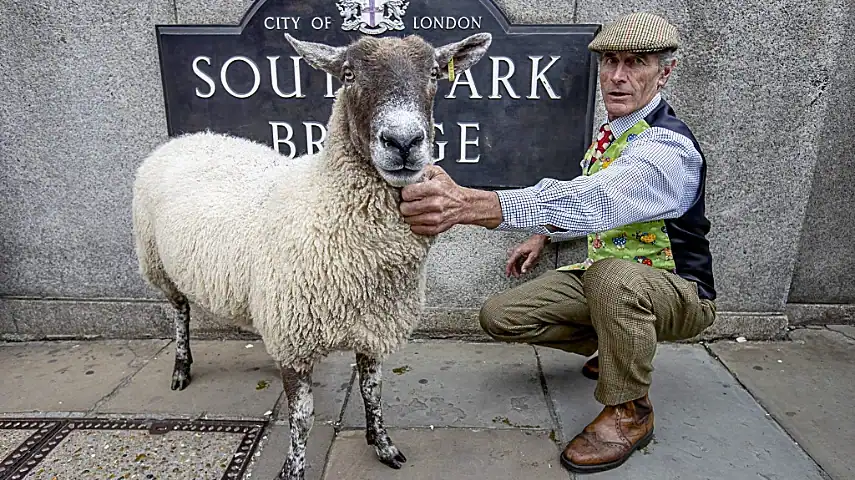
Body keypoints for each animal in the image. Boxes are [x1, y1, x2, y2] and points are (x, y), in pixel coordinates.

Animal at [134, 31, 494, 478]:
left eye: (433, 73)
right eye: (348, 74)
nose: (404, 143)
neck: (326, 201)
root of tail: (186, 138)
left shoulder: (371, 325)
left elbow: (372, 390)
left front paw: (382, 443)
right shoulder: (294, 335)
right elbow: (301, 417)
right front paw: (293, 468)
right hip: (156, 261)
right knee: (180, 312)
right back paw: (181, 368)